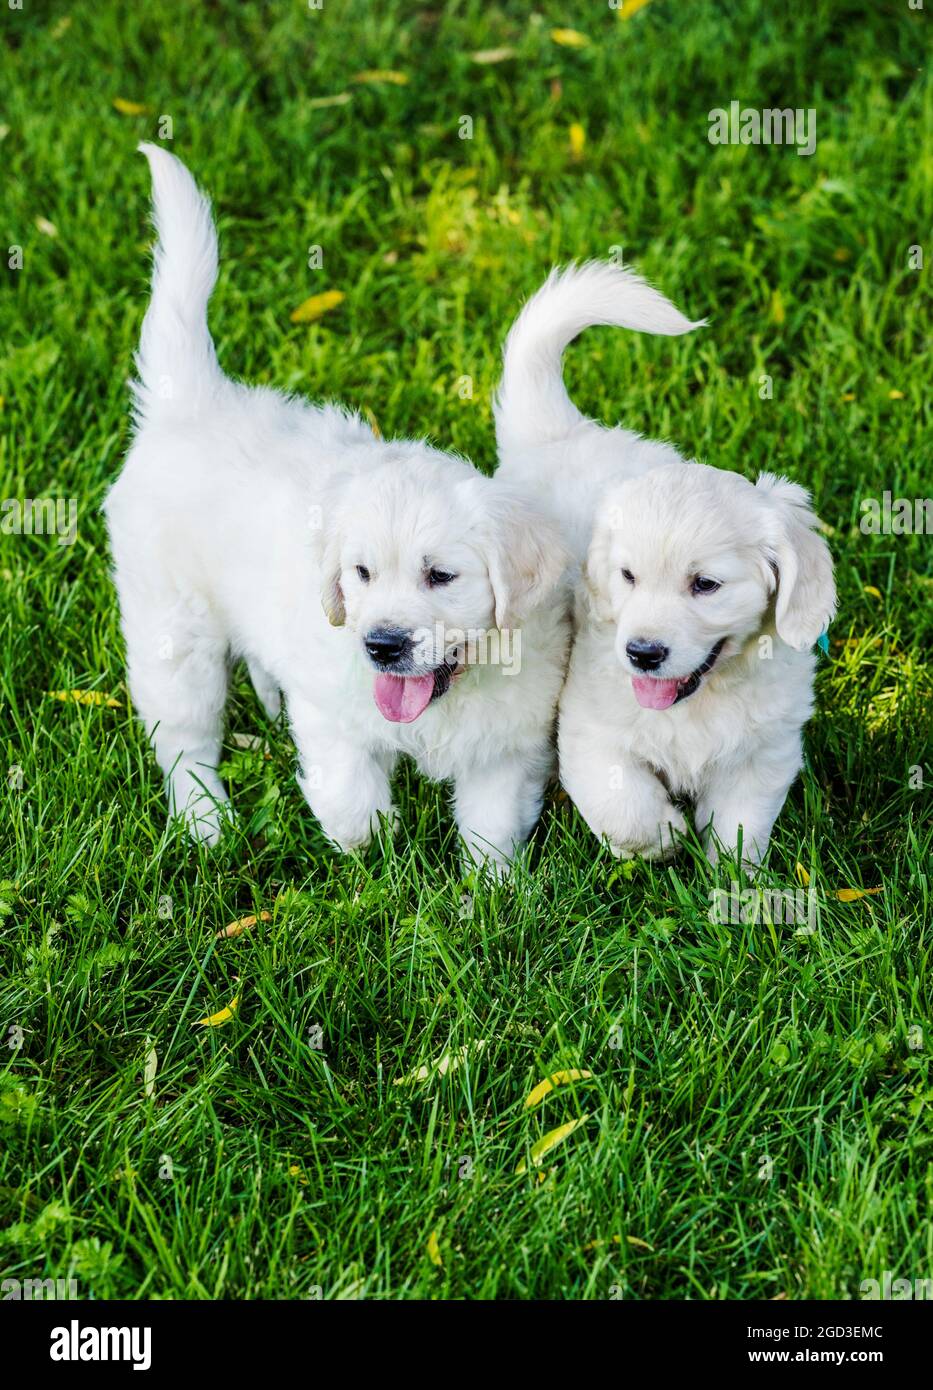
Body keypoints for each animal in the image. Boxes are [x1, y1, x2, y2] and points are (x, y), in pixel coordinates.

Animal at [104, 149, 570, 867]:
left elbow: (491, 827)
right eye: (361, 575)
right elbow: (351, 797)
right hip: (171, 628)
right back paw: (205, 822)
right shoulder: (329, 710)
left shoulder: (508, 743)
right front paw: (370, 854)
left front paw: (491, 889)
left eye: (441, 576)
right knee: (184, 737)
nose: (381, 645)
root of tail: (194, 399)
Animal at [500, 264, 834, 861]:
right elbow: (622, 806)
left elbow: (741, 826)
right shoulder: (589, 731)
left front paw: (731, 877)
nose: (643, 654)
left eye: (706, 584)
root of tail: (560, 432)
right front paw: (664, 837)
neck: (699, 700)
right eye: (628, 577)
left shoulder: (765, 751)